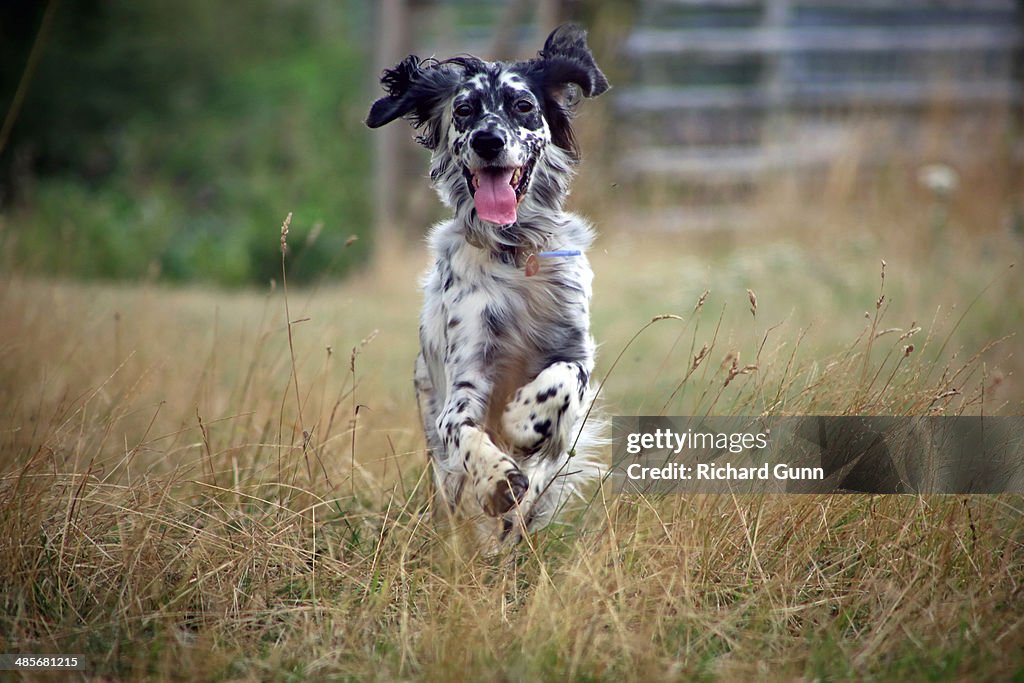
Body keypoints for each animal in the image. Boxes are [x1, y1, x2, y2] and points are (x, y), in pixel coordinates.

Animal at [368, 26, 606, 548]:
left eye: (522, 105)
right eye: (463, 110)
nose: (488, 140)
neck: (514, 252)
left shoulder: (576, 352)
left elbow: (562, 380)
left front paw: (522, 422)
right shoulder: (465, 381)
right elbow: (465, 432)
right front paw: (497, 477)